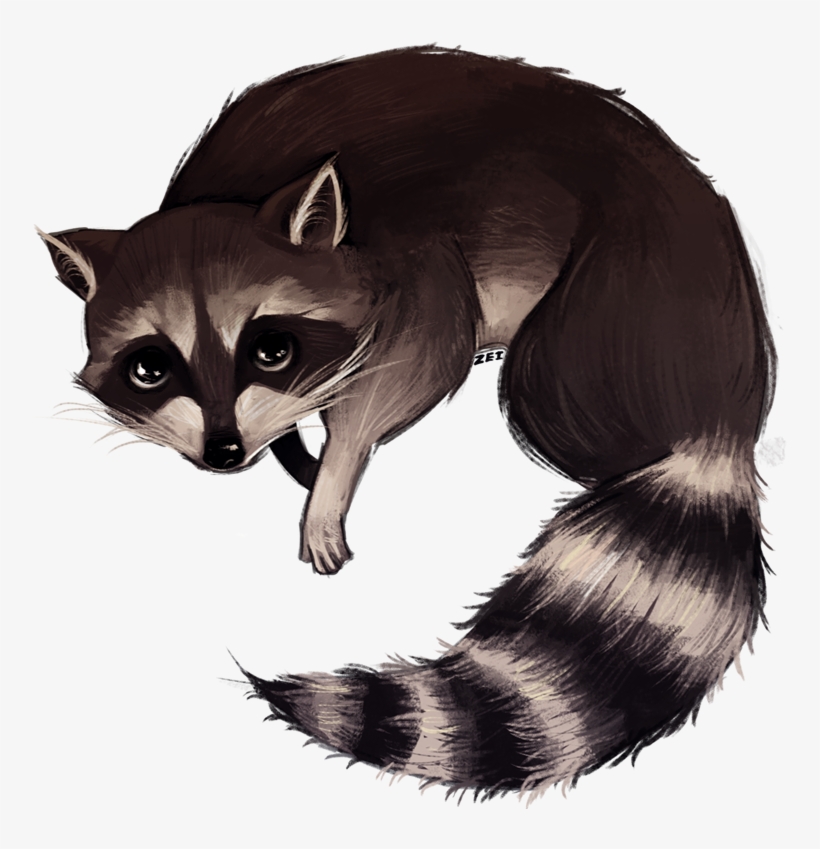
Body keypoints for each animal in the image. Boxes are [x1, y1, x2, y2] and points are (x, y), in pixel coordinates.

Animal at [40, 47, 775, 800]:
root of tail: (722, 407)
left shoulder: (421, 266)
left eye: (271, 349)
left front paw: (334, 471)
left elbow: (412, 367)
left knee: (540, 395)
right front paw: (298, 452)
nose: (223, 451)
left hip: (606, 319)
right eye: (150, 368)